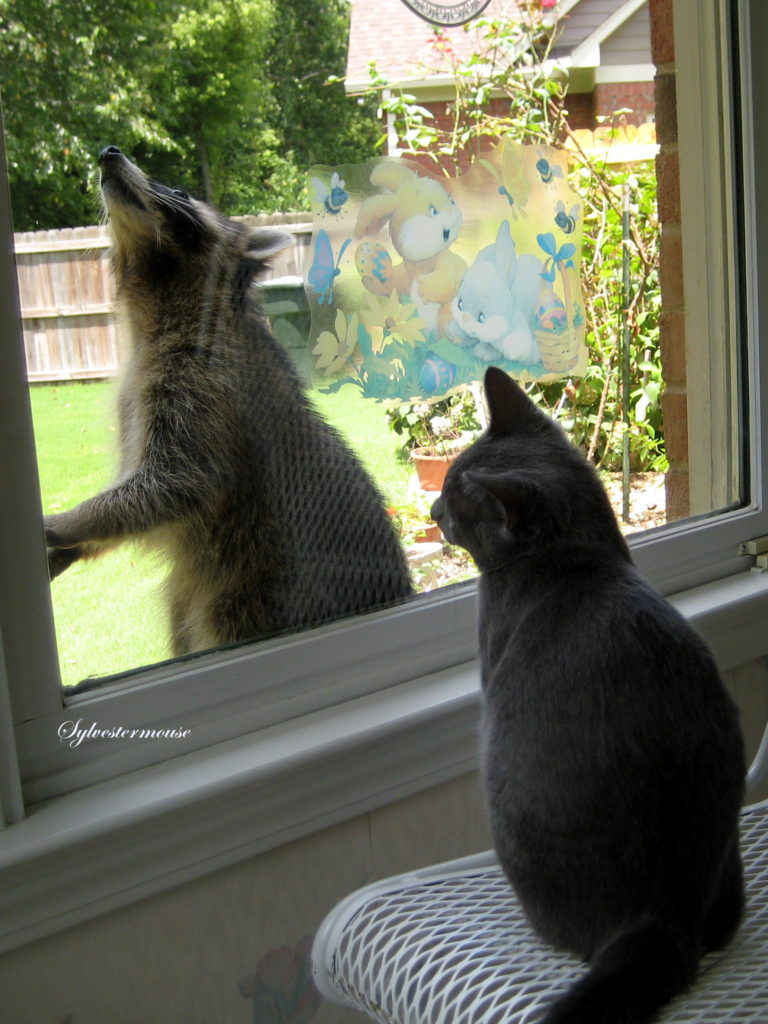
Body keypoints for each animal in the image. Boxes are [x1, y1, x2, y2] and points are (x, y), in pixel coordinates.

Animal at [44, 144, 411, 655]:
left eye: (179, 192)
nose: (109, 152)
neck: (157, 309)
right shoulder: (140, 398)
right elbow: (141, 485)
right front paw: (78, 540)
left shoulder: (204, 389)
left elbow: (172, 485)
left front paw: (71, 522)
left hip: (252, 593)